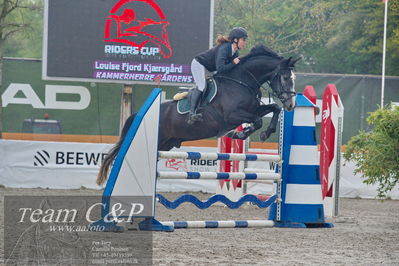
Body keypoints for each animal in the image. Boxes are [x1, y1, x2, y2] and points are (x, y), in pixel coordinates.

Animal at [97, 44, 300, 185]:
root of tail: (139, 114)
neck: (242, 81)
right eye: (285, 77)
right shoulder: (232, 116)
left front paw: (265, 132)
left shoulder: (253, 109)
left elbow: (273, 109)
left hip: (165, 143)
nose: (291, 104)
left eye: (294, 78)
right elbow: (257, 121)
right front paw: (240, 133)